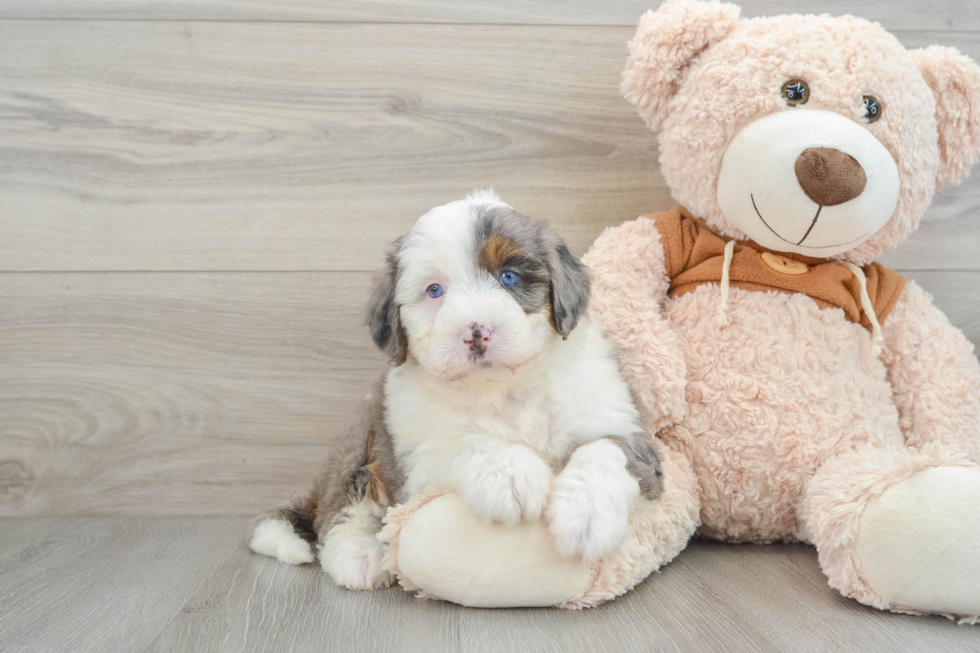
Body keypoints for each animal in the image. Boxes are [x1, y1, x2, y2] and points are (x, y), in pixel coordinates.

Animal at [253, 191, 668, 588]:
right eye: (435, 290)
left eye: (509, 277)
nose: (476, 332)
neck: (506, 389)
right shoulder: (414, 458)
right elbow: (466, 442)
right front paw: (511, 475)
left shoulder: (616, 420)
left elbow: (604, 448)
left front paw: (586, 513)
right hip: (358, 442)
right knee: (342, 508)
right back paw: (361, 556)